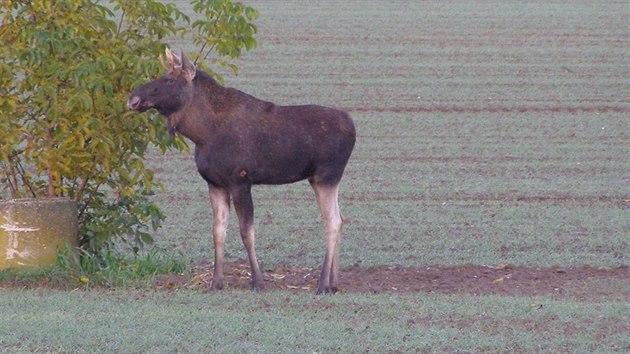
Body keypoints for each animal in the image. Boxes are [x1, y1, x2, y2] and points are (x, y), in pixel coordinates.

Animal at [128, 49, 356, 294]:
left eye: (169, 80)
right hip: (321, 178)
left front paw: (257, 281)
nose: (133, 98)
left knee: (332, 221)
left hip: (327, 174)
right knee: (341, 218)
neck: (202, 134)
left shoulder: (240, 181)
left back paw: (322, 284)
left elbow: (247, 232)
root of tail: (353, 128)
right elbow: (218, 232)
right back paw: (334, 282)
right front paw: (215, 283)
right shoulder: (215, 183)